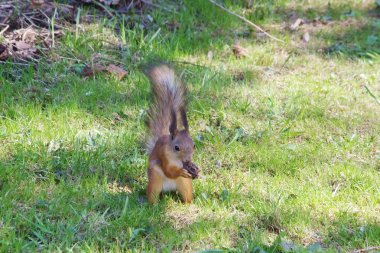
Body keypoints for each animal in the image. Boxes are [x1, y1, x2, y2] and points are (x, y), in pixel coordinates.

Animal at [145, 64, 197, 205]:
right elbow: (169, 171)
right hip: (155, 182)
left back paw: (188, 205)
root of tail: (169, 189)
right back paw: (153, 205)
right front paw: (181, 171)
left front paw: (195, 168)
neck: (177, 160)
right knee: (152, 196)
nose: (188, 160)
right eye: (176, 147)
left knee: (187, 197)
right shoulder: (164, 156)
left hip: (185, 185)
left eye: (194, 145)